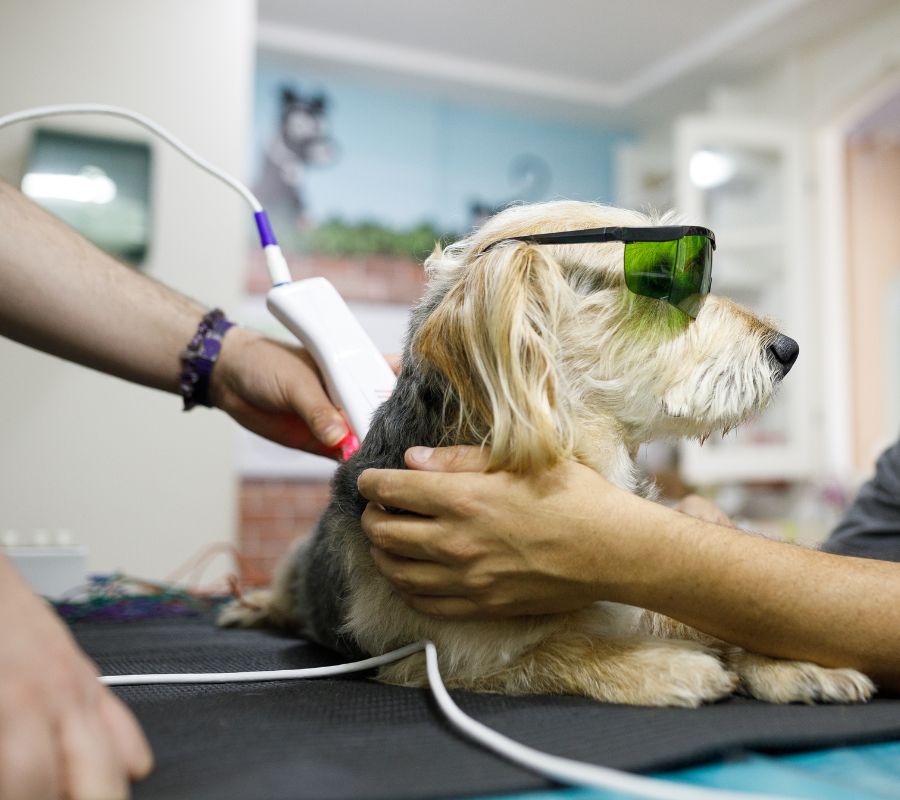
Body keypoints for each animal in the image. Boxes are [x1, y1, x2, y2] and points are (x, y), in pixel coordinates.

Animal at [221, 200, 876, 708]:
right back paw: (255, 606)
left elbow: (707, 611)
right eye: (661, 278)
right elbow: (562, 647)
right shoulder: (444, 653)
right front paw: (662, 665)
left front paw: (788, 663)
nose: (787, 349)